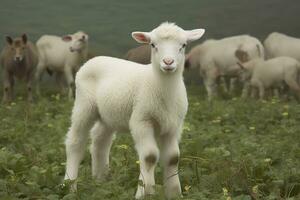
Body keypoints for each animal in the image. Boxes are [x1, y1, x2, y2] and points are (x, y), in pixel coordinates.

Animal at [64, 22, 205, 199]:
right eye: (153, 45)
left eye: (183, 45)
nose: (168, 62)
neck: (160, 86)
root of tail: (94, 59)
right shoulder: (141, 121)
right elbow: (150, 157)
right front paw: (145, 192)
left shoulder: (174, 125)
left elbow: (173, 158)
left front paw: (174, 193)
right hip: (84, 105)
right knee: (75, 141)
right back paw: (69, 185)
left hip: (108, 114)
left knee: (100, 141)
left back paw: (100, 180)